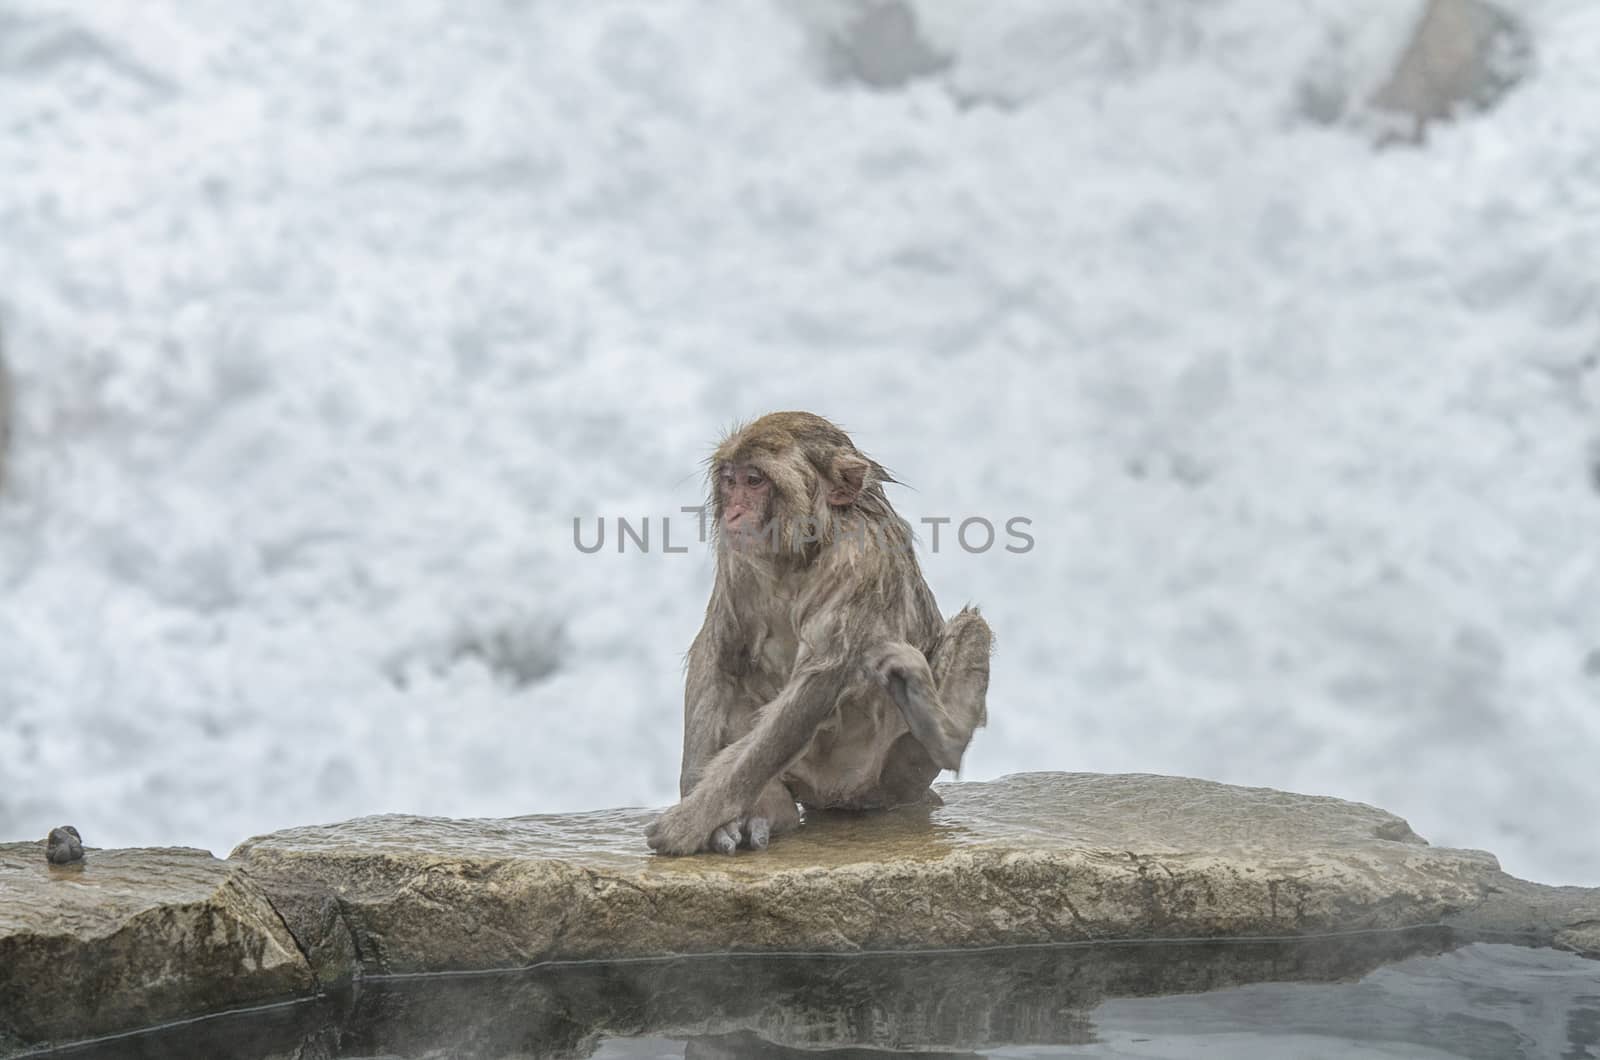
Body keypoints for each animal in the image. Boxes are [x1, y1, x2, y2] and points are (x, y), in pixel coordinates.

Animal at [646, 409, 992, 858]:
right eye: (730, 479)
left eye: (754, 480)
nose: (734, 514)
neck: (800, 552)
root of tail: (839, 796)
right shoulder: (735, 556)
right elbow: (720, 652)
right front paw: (702, 808)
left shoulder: (861, 559)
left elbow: (819, 680)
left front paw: (689, 823)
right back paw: (773, 810)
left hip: (895, 771)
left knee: (972, 629)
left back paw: (937, 727)